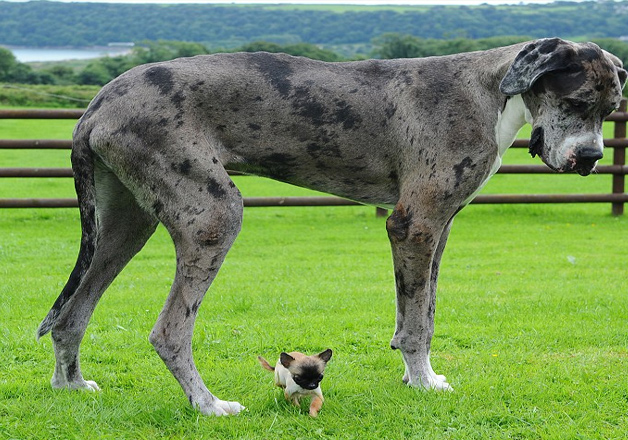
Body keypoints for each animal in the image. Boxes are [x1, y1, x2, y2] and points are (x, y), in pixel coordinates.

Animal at [38, 38, 624, 416]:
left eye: (612, 107)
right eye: (575, 101)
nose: (591, 158)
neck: (490, 89)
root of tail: (99, 100)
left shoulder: (441, 227)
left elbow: (423, 310)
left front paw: (421, 376)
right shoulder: (415, 224)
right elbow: (417, 324)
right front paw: (423, 384)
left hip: (123, 228)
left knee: (71, 314)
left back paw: (70, 389)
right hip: (213, 217)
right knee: (169, 331)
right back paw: (208, 405)